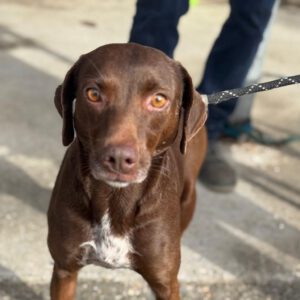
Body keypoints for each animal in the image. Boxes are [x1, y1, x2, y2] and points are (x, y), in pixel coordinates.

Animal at [47, 42, 206, 300]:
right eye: (93, 94)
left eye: (158, 100)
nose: (120, 159)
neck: (116, 198)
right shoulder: (64, 270)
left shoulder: (166, 283)